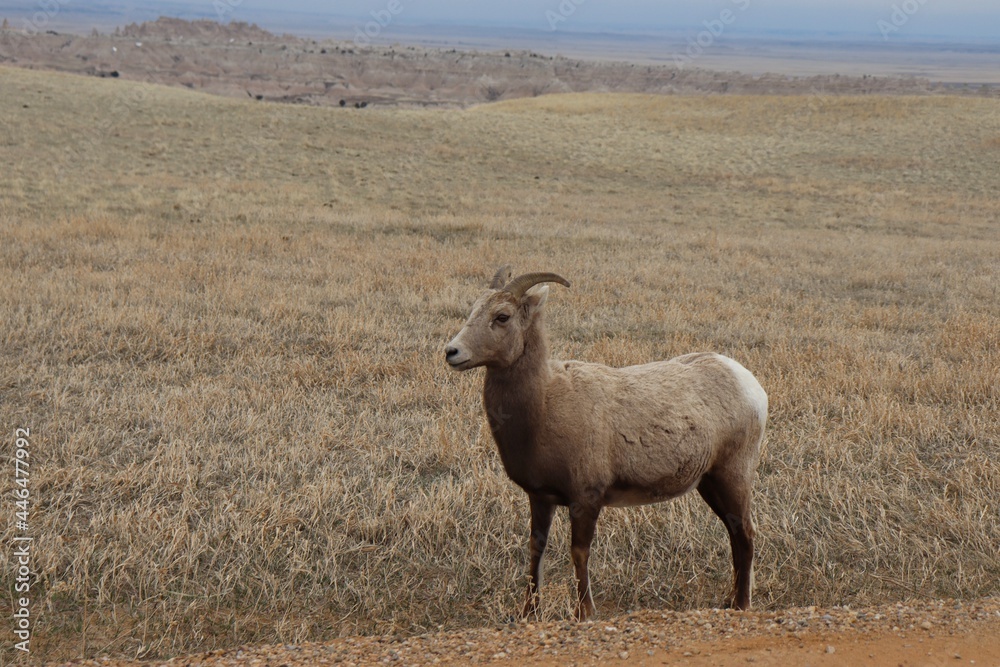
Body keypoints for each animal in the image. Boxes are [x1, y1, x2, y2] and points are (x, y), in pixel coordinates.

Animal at [446, 266, 764, 620]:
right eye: (473, 310)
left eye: (502, 316)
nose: (452, 352)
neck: (546, 402)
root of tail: (750, 384)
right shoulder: (540, 498)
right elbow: (535, 550)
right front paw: (528, 613)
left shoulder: (586, 498)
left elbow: (579, 553)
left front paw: (584, 613)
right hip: (710, 483)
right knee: (734, 534)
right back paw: (729, 600)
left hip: (732, 476)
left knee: (746, 534)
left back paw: (742, 604)